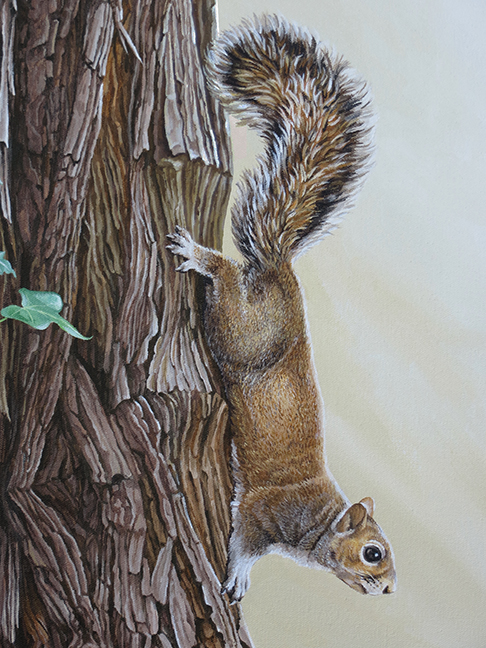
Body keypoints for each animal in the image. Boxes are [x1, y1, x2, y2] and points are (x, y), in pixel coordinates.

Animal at [167, 14, 396, 603]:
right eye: (373, 553)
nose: (389, 591)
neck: (319, 520)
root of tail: (278, 272)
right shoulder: (262, 510)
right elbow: (243, 542)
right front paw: (237, 577)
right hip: (244, 331)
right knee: (226, 282)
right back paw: (199, 256)